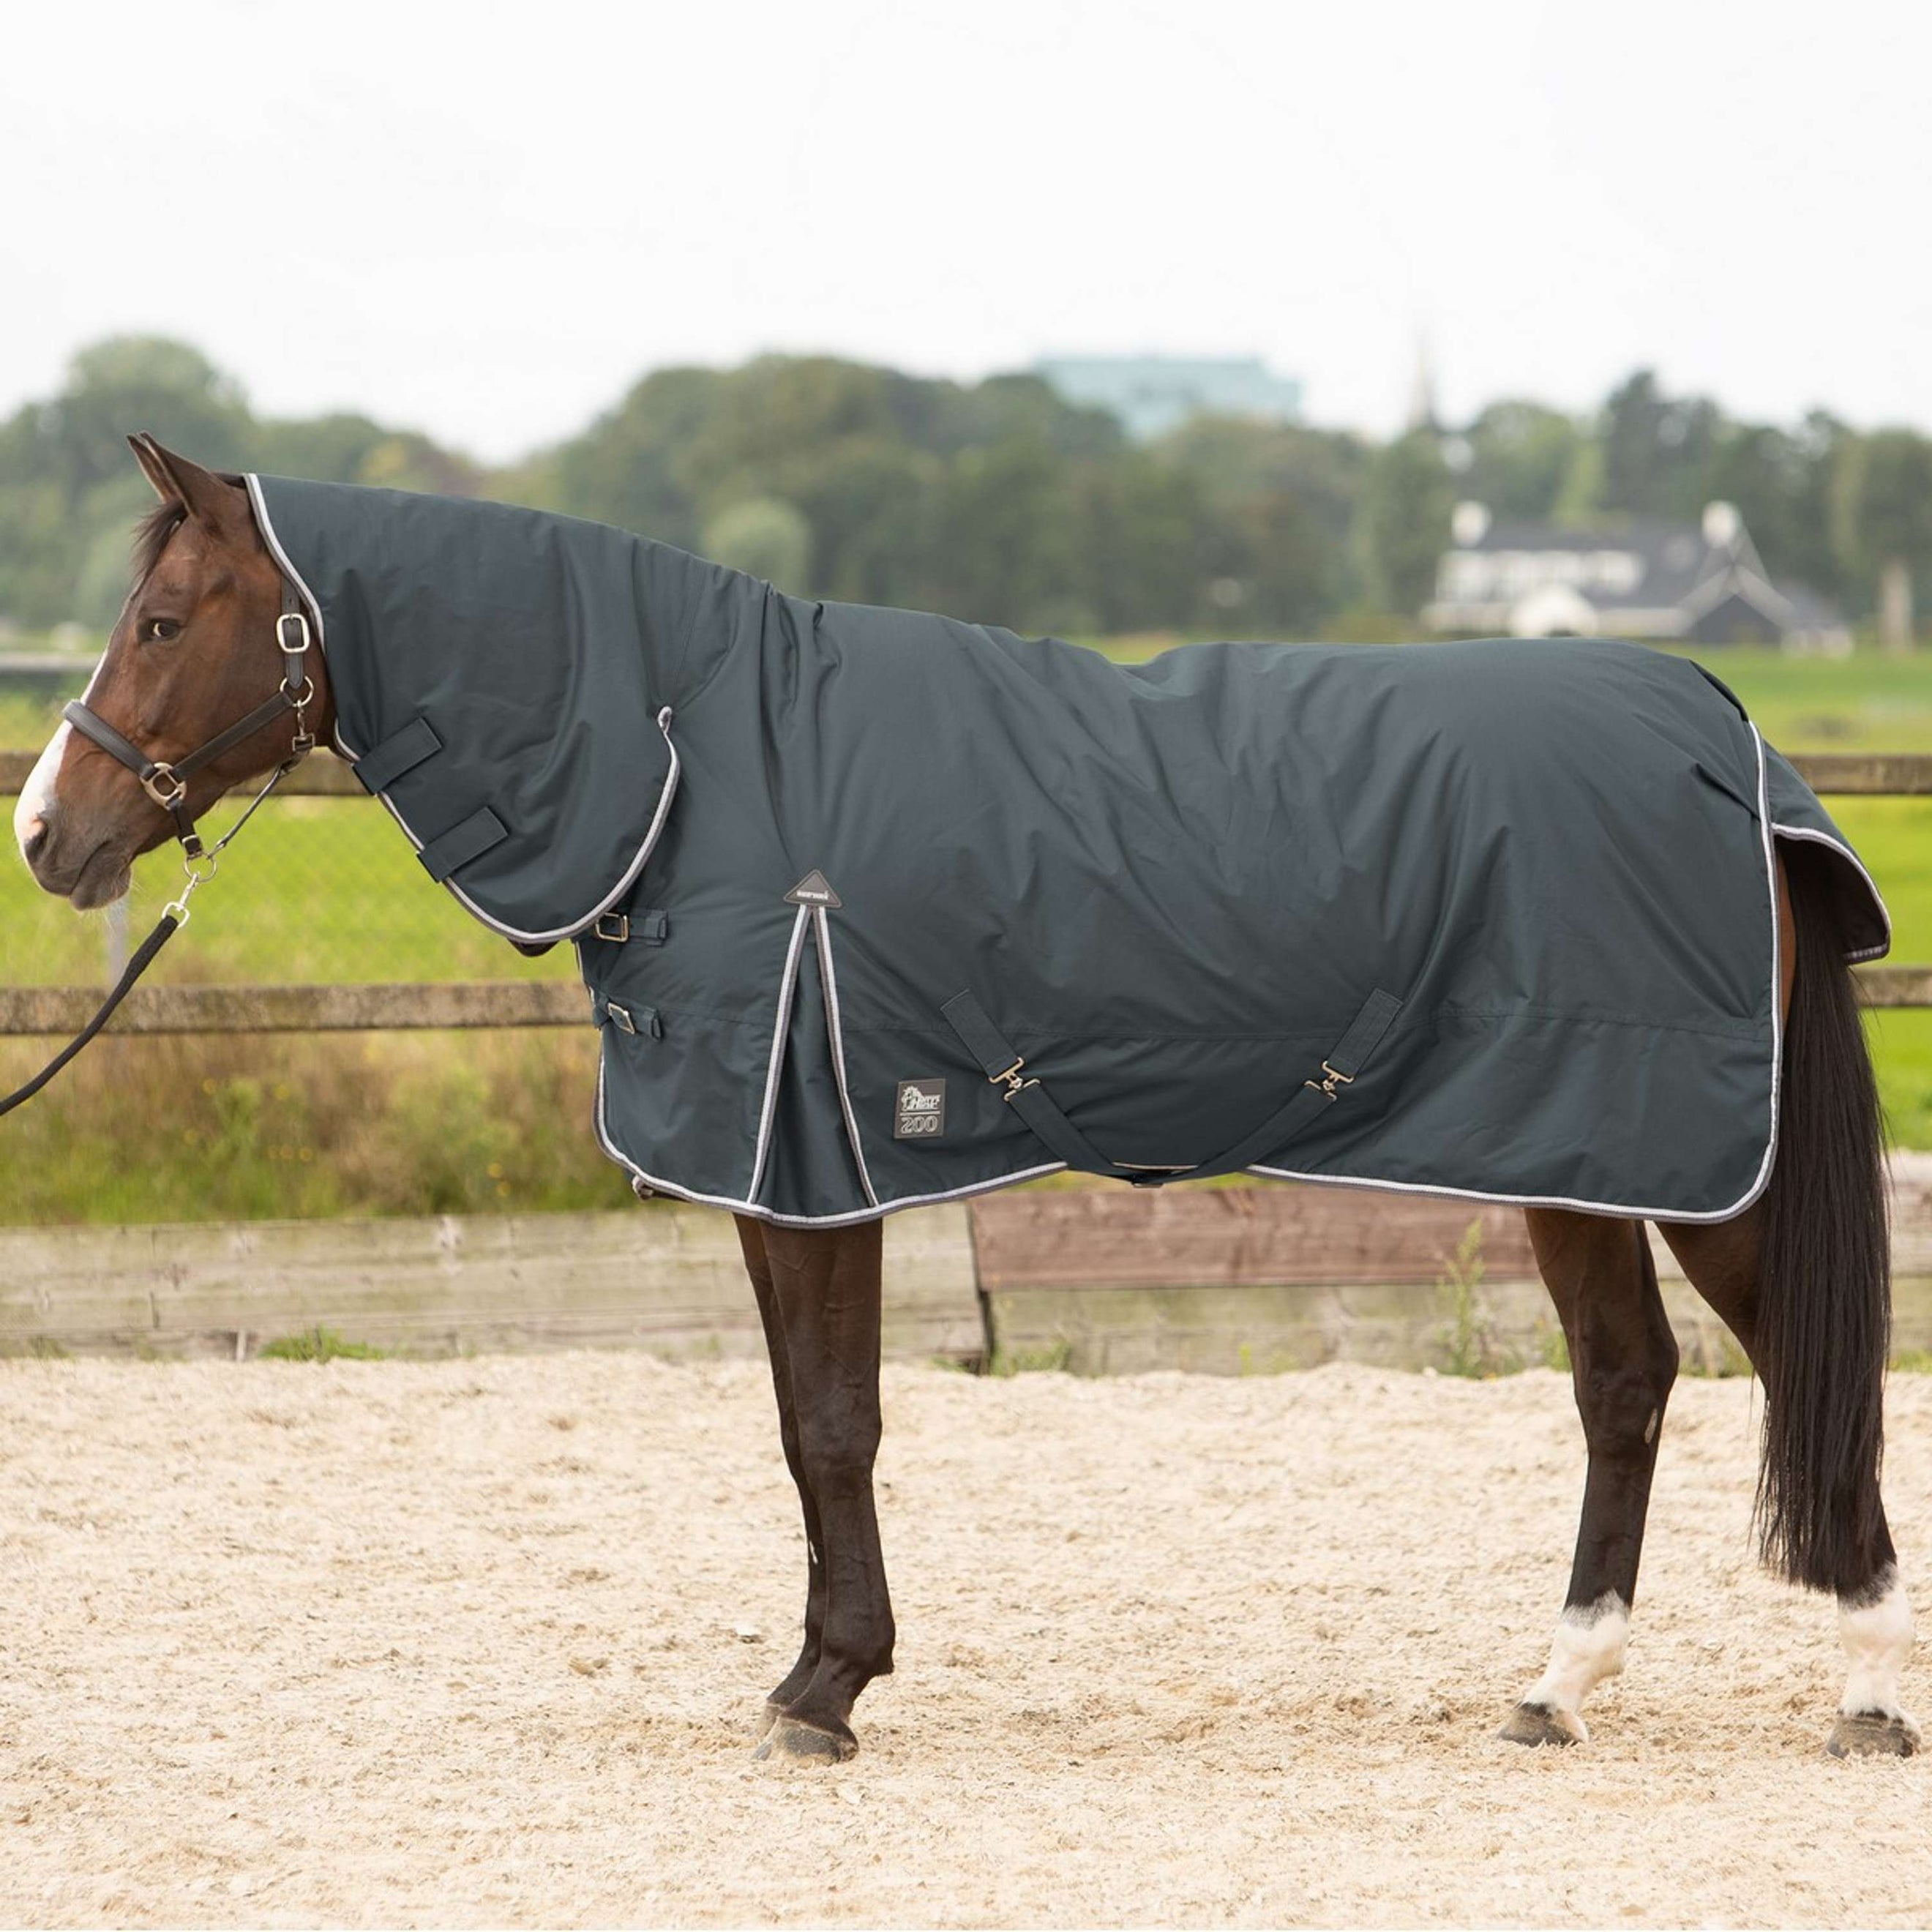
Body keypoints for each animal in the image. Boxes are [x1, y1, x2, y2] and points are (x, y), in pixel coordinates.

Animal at [13, 436, 1917, 1764]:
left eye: (162, 623)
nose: (48, 834)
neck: (697, 754)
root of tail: (1725, 732)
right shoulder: (791, 1169)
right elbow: (807, 1421)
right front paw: (817, 1671)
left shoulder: (814, 1155)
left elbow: (834, 1424)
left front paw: (825, 1691)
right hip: (1571, 1139)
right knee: (1627, 1382)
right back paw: (1556, 1688)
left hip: (1689, 1155)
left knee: (1803, 1373)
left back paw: (1865, 1690)